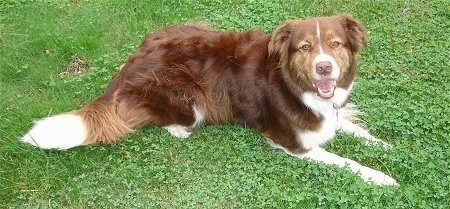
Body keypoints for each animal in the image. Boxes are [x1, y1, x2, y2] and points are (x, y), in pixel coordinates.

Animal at [22, 13, 400, 186]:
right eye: (305, 48)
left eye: (336, 44)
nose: (324, 68)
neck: (294, 84)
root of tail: (129, 63)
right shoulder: (292, 144)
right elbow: (347, 162)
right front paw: (383, 177)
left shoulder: (328, 115)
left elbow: (355, 129)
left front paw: (387, 146)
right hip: (190, 103)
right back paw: (177, 129)